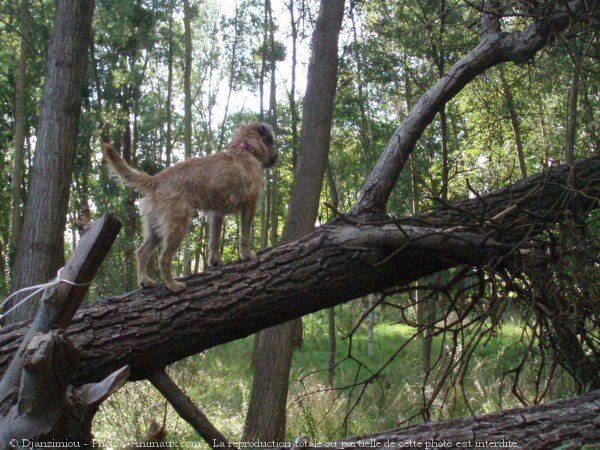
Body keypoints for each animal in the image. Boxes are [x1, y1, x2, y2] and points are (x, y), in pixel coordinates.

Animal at [102, 122, 278, 292]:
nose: (277, 154)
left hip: (155, 229)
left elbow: (214, 238)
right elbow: (245, 234)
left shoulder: (216, 213)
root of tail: (154, 181)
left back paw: (144, 281)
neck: (245, 148)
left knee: (141, 252)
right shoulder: (250, 204)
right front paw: (248, 254)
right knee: (164, 258)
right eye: (272, 141)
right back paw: (172, 285)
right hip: (177, 225)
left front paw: (215, 260)